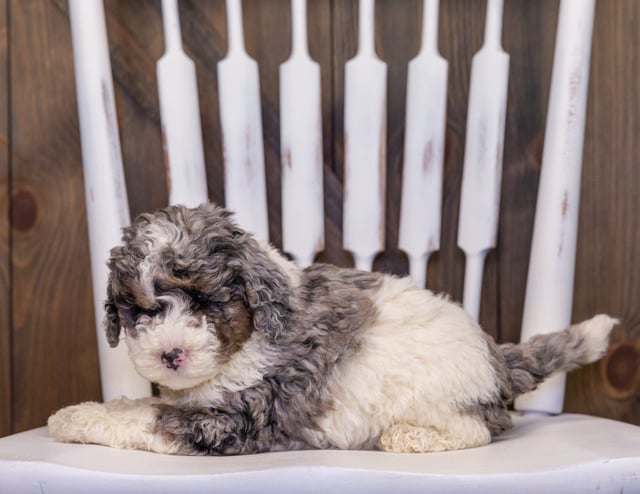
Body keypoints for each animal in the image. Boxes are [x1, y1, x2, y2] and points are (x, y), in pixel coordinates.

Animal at [47, 203, 616, 454]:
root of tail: (497, 356)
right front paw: (85, 408)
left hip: (445, 398)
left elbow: (146, 419)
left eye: (206, 301)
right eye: (140, 310)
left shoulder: (232, 419)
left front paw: (73, 418)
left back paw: (407, 437)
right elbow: (140, 404)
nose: (171, 355)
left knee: (477, 429)